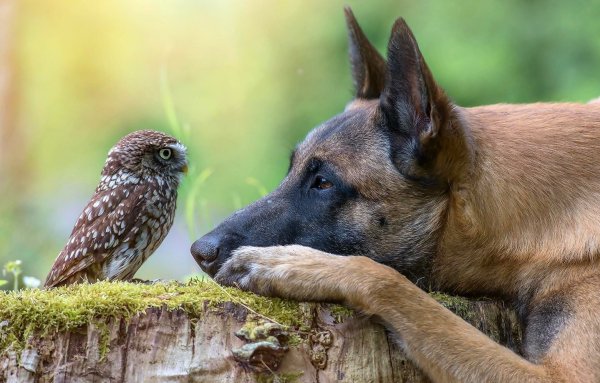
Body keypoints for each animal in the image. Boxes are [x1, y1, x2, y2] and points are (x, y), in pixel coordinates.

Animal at [191, 7, 600, 382]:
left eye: (323, 183)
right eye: (291, 170)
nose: (200, 252)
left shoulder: (558, 377)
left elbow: (391, 283)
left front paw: (290, 264)